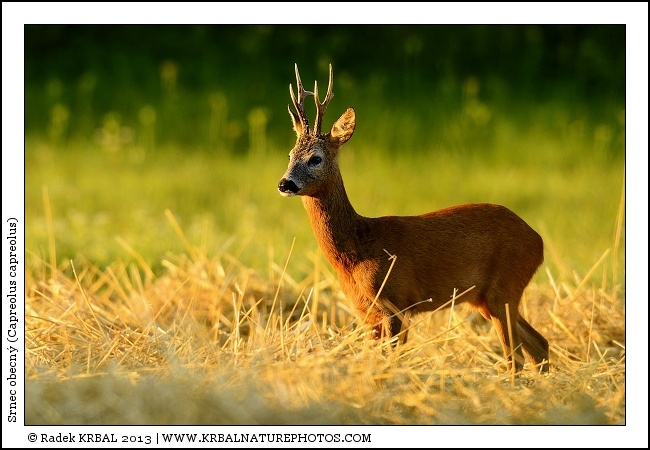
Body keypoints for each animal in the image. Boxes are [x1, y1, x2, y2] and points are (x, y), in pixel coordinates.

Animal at [277, 64, 549, 373]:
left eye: (316, 158)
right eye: (289, 154)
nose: (285, 184)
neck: (358, 248)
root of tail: (538, 241)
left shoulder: (396, 301)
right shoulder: (366, 311)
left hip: (503, 288)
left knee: (515, 356)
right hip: (485, 298)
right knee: (539, 345)